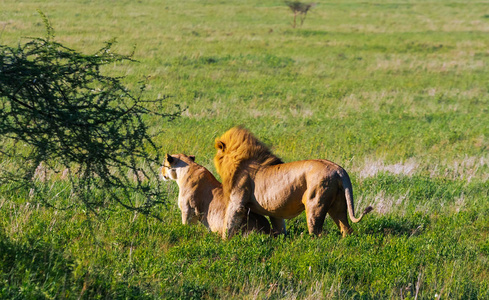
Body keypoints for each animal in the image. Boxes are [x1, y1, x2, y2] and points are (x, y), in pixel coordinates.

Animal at [215, 126, 372, 239]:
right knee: (346, 229)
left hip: (315, 203)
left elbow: (229, 222)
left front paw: (224, 242)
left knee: (317, 233)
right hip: (338, 204)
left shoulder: (237, 200)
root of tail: (339, 170)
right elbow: (279, 226)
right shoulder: (274, 209)